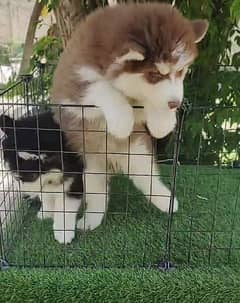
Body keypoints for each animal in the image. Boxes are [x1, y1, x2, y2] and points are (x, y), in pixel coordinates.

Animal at [0, 112, 83, 245]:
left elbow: (65, 206)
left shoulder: (74, 176)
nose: (24, 197)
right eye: (17, 178)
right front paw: (46, 212)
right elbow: (46, 193)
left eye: (31, 176)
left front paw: (63, 232)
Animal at [51, 2, 208, 232]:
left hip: (137, 152)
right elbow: (102, 88)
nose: (176, 104)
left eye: (181, 71)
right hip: (90, 163)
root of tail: (113, 159)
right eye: (155, 75)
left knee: (146, 177)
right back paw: (90, 220)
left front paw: (163, 121)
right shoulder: (73, 85)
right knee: (99, 193)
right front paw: (122, 122)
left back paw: (166, 201)